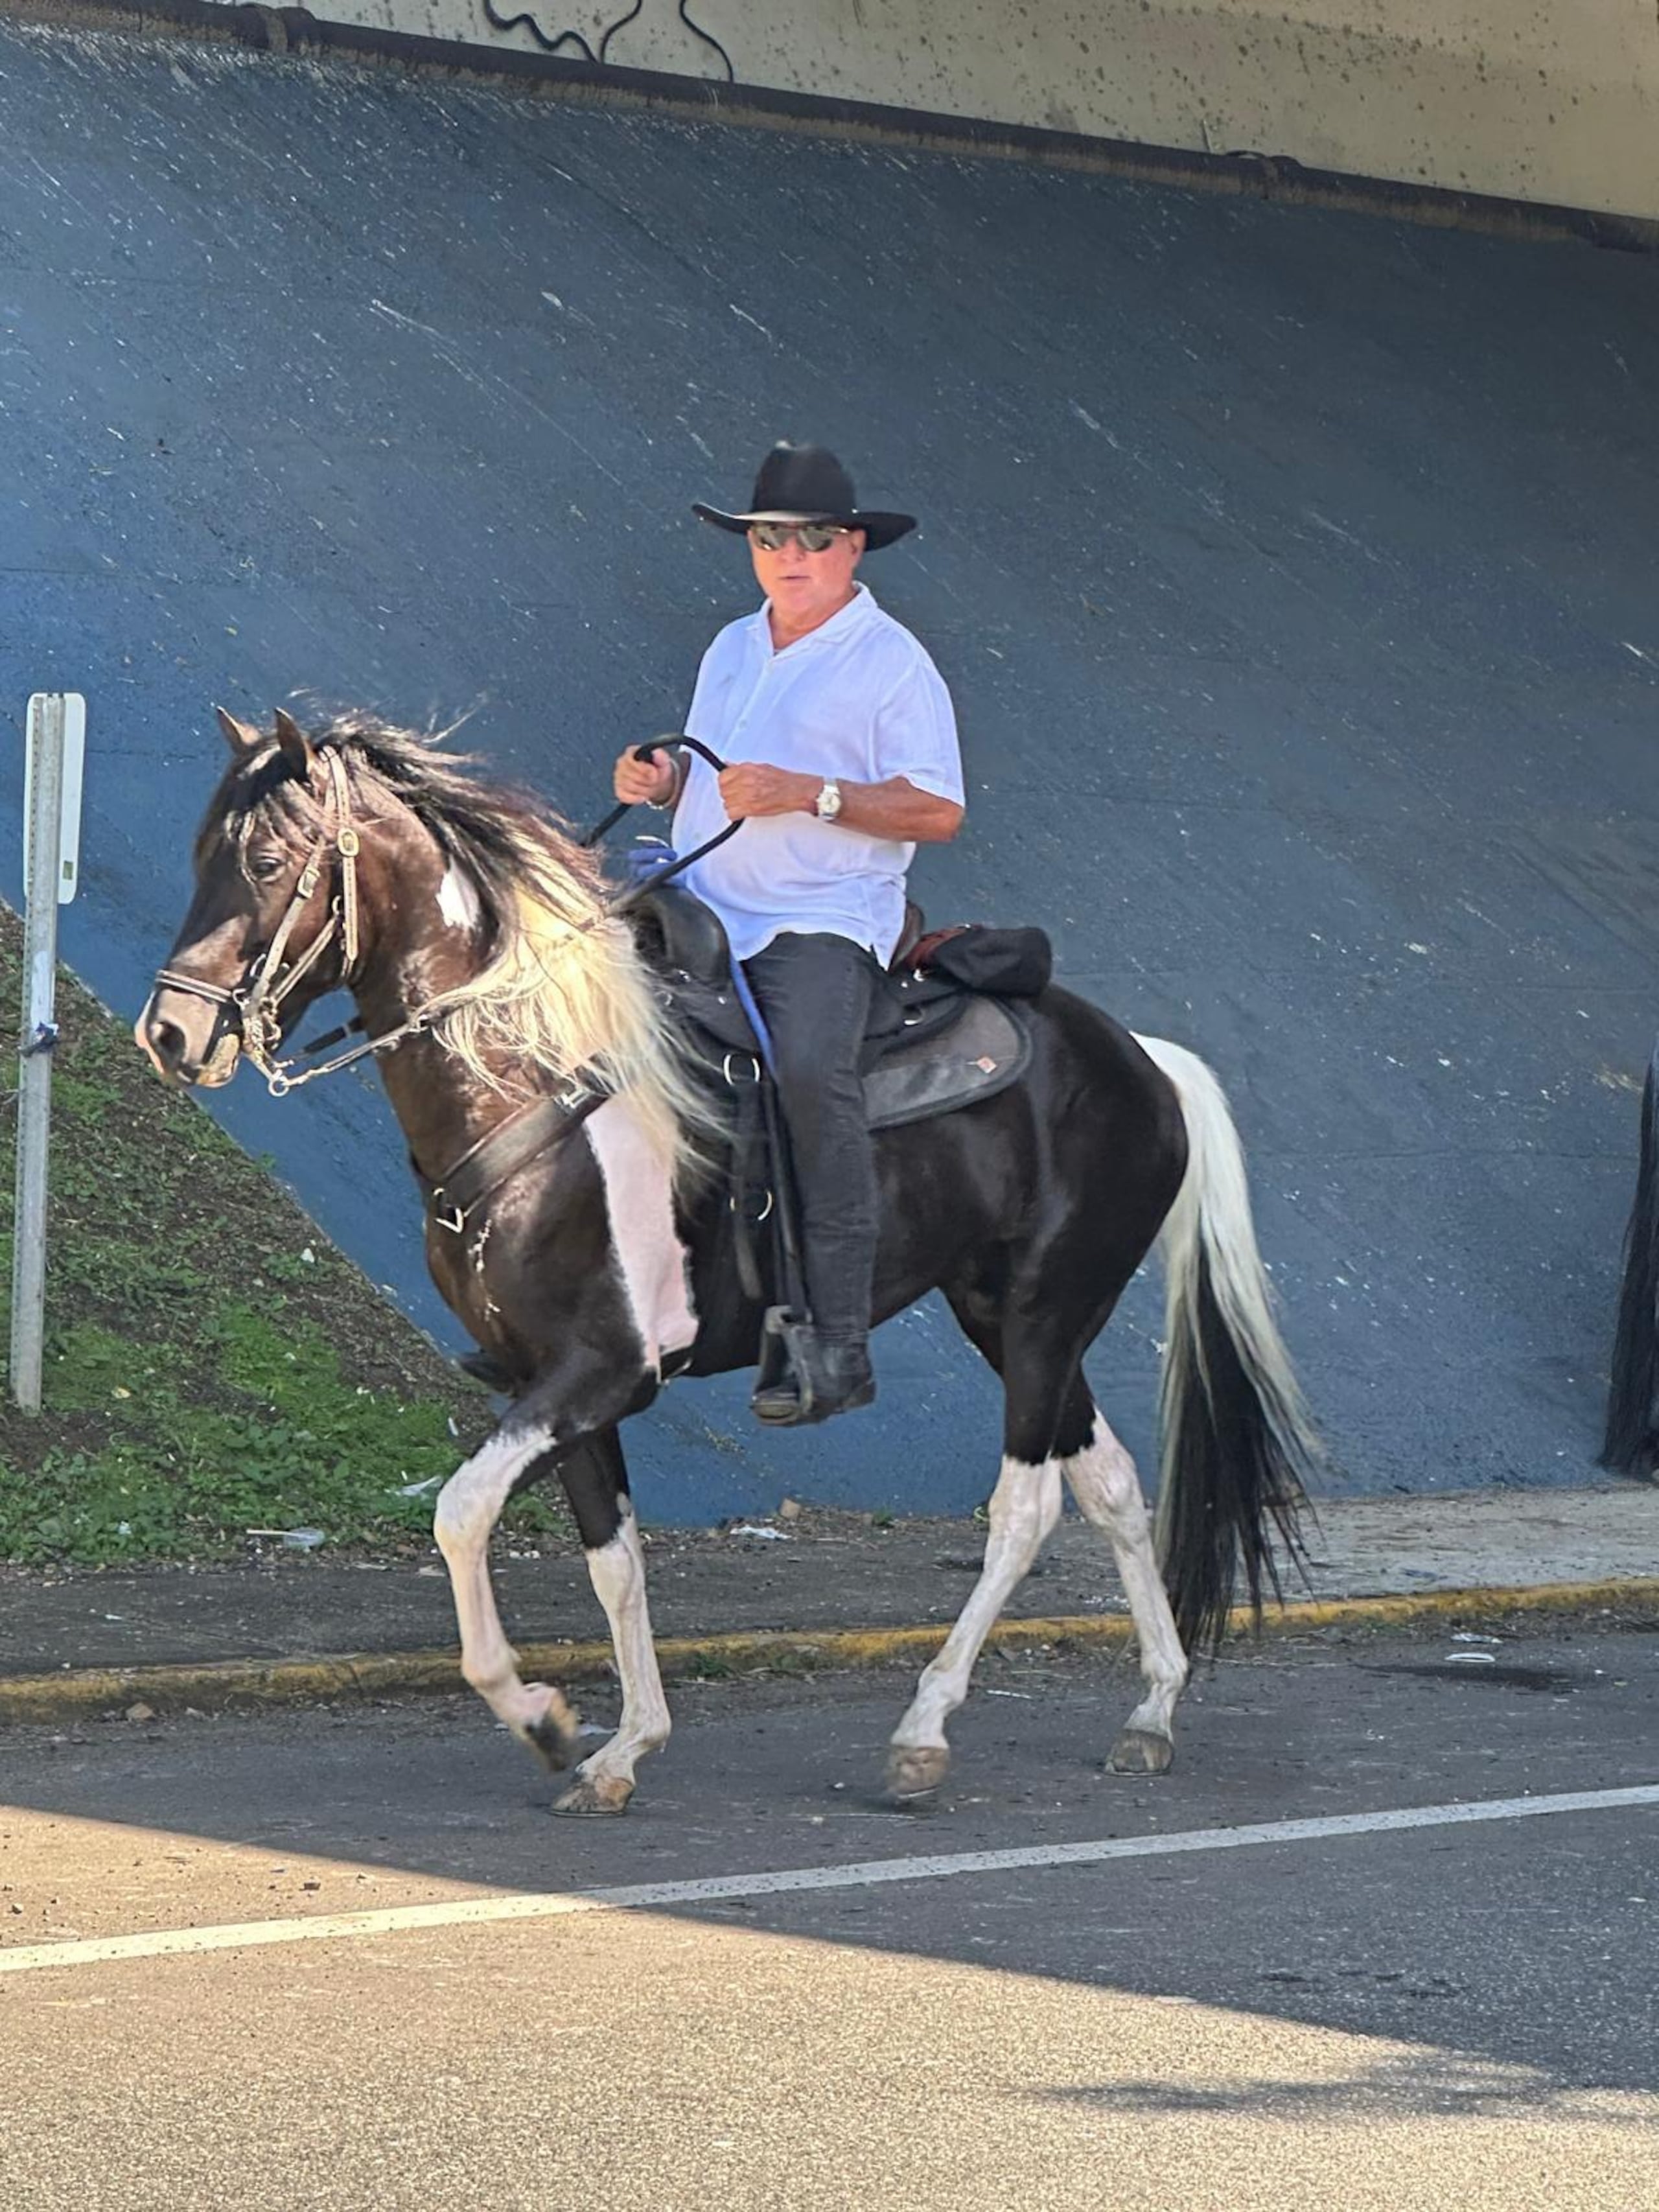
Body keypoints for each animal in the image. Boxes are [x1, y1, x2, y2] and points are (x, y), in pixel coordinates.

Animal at [136, 707, 1320, 1816]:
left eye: (268, 863)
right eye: (197, 853)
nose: (170, 1035)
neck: (535, 1074)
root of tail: (1144, 1061)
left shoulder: (604, 1368)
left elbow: (461, 1512)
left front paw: (541, 1714)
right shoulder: (549, 1380)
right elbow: (612, 1559)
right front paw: (620, 1747)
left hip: (1043, 1313)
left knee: (1025, 1509)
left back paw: (924, 1732)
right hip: (1006, 1314)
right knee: (1111, 1481)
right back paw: (1153, 1707)